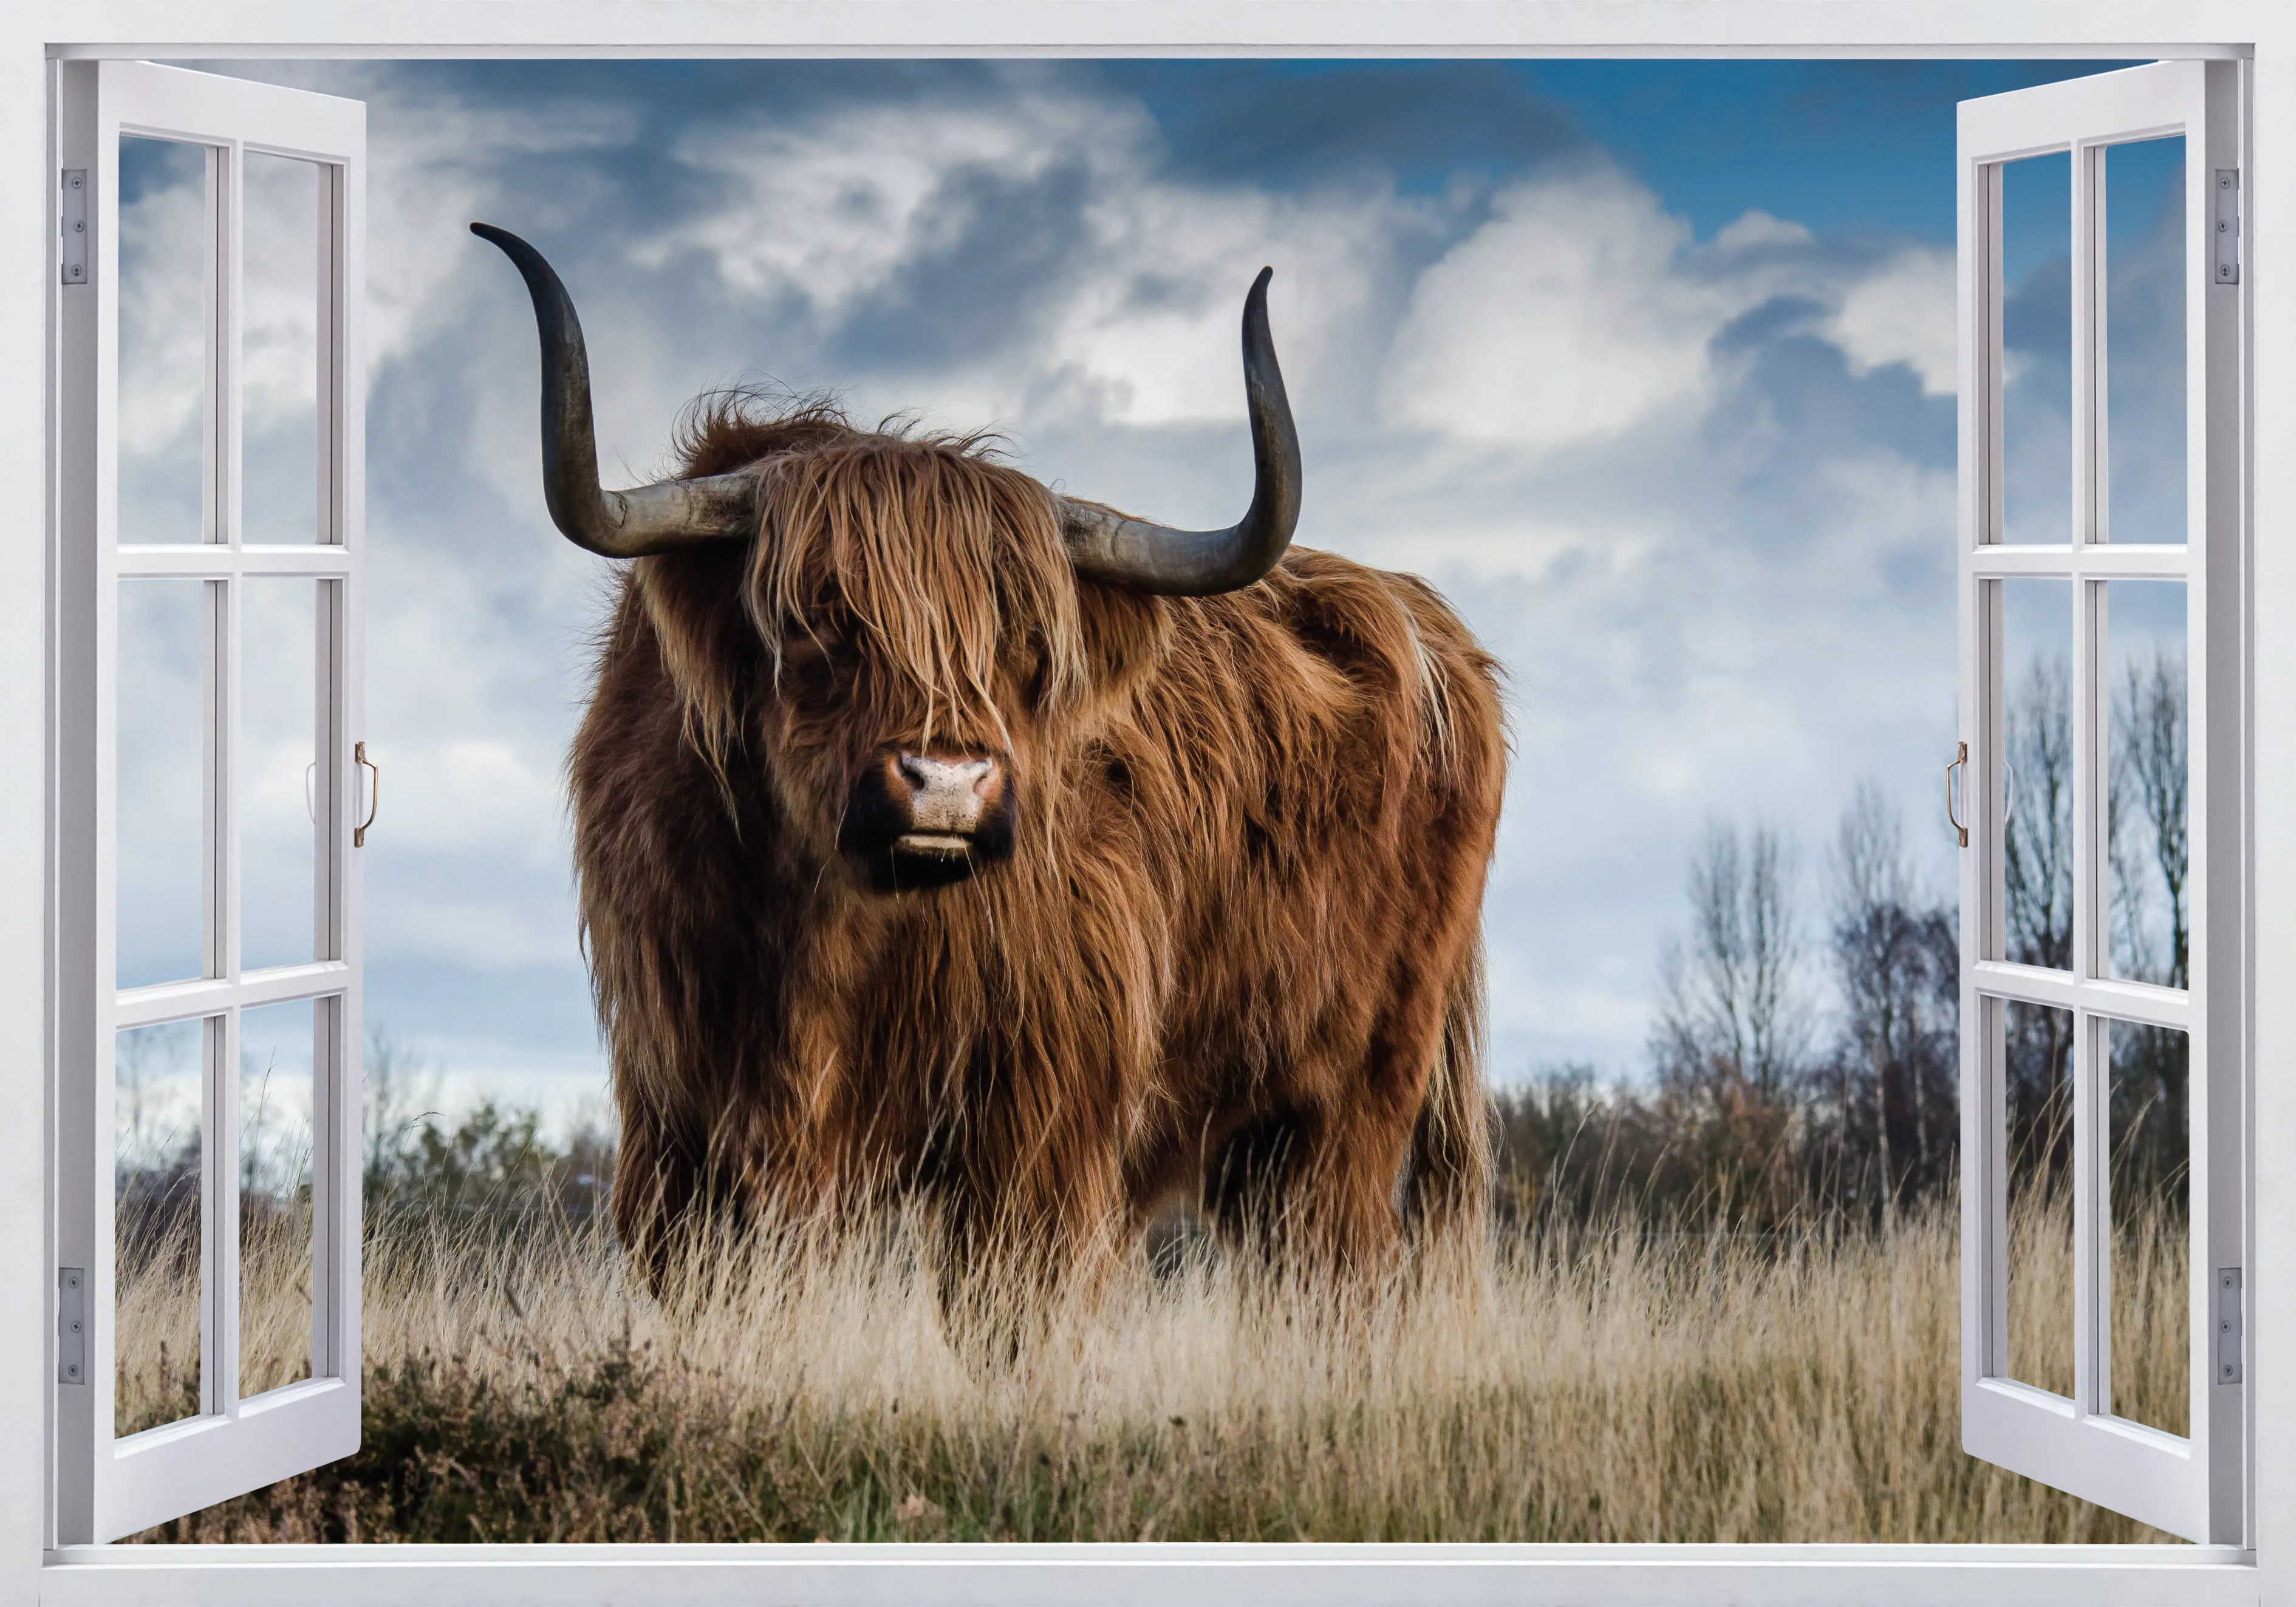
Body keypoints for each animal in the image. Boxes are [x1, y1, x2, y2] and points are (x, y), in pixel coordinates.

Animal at [472, 223, 1507, 1308]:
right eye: (815, 620)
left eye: (1026, 642)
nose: (948, 783)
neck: (823, 937)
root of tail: (1428, 623)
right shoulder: (680, 1120)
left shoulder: (1039, 1125)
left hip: (1353, 1098)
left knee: (1342, 1270)